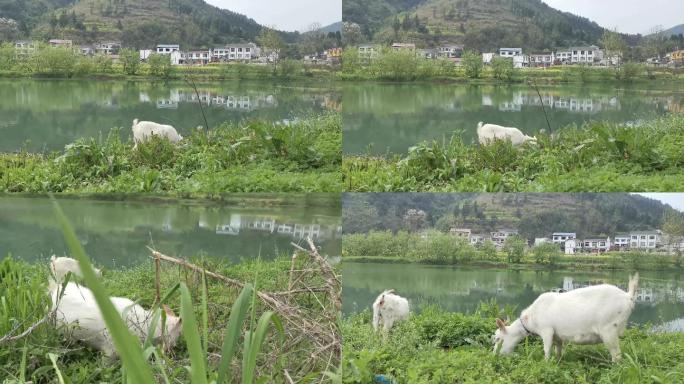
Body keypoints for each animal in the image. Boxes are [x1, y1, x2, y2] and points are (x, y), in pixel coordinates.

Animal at [494, 274, 640, 362]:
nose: (495, 355)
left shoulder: (547, 330)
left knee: (617, 355)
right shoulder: (557, 336)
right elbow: (558, 349)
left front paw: (546, 362)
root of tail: (628, 296)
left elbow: (547, 349)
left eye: (498, 339)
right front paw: (557, 361)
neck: (530, 318)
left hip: (609, 330)